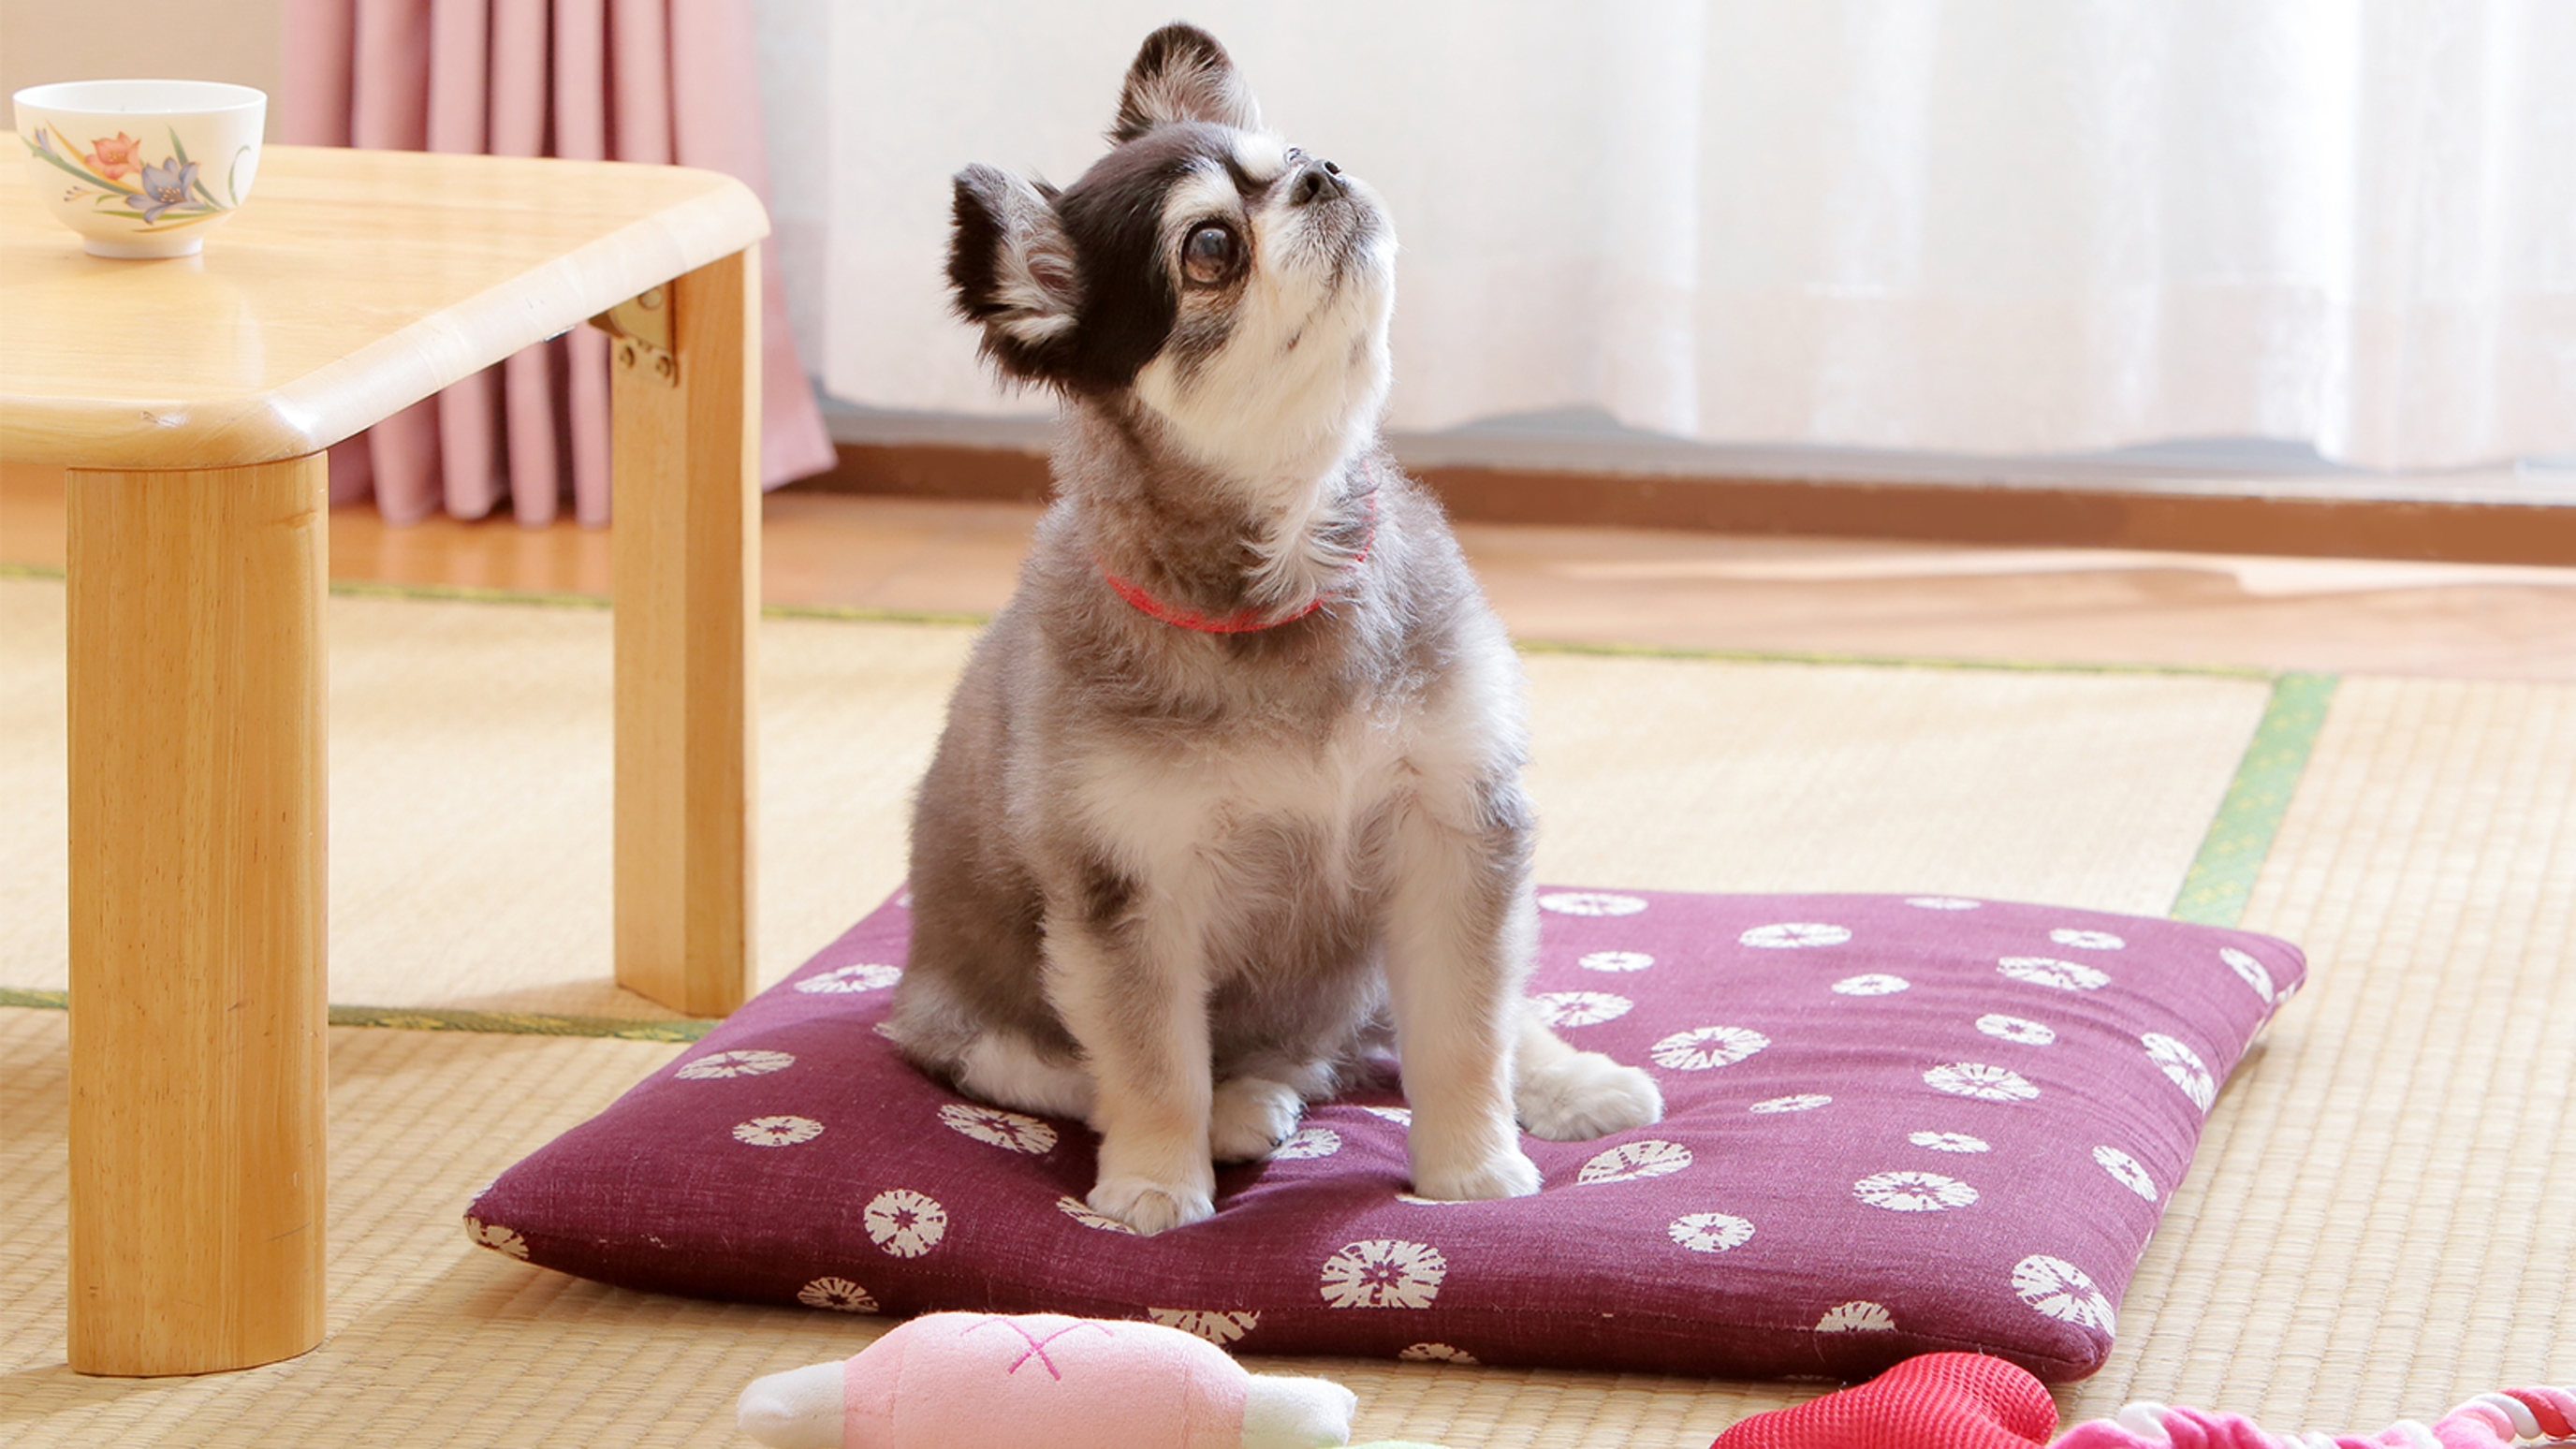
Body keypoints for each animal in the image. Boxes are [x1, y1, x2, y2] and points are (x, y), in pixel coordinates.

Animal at [886, 22, 1659, 1227]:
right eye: (1210, 246)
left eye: (1293, 152)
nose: (1324, 172)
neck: (1292, 573)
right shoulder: (1130, 889)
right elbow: (1152, 1063)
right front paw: (1156, 1187)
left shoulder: (1454, 830)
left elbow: (1465, 1031)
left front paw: (1470, 1173)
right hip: (963, 1034)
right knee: (1079, 1071)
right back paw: (1243, 1107)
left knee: (1471, 1017)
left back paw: (1569, 1080)